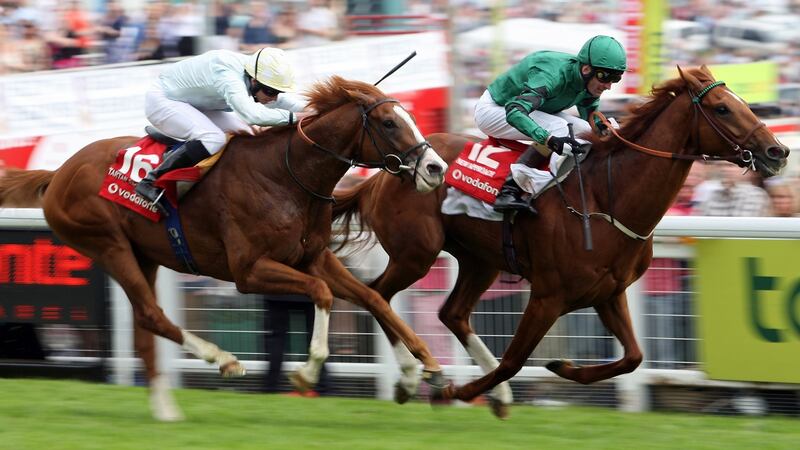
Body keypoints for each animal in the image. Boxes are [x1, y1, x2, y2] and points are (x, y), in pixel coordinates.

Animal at [0, 76, 450, 418]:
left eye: (409, 117)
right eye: (389, 123)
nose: (436, 168)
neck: (287, 176)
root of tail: (59, 173)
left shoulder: (314, 257)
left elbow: (373, 298)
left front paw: (420, 370)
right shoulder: (250, 271)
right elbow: (322, 294)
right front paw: (307, 372)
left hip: (144, 255)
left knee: (145, 328)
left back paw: (165, 409)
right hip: (108, 244)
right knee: (151, 314)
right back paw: (223, 360)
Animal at [332, 67, 788, 418]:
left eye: (743, 101)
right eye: (722, 108)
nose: (778, 150)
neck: (607, 198)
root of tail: (384, 172)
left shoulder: (609, 293)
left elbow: (633, 357)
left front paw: (565, 368)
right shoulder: (548, 295)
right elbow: (514, 360)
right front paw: (453, 391)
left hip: (480, 261)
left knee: (452, 313)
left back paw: (485, 392)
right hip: (417, 254)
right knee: (377, 295)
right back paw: (412, 378)